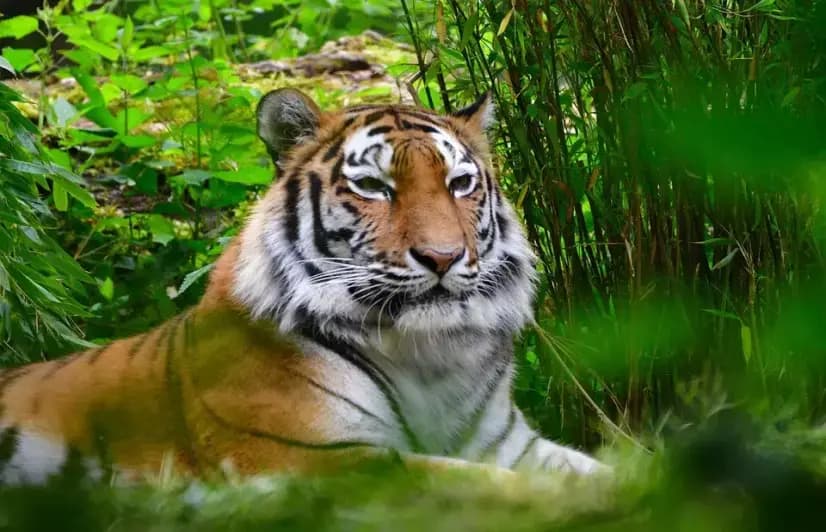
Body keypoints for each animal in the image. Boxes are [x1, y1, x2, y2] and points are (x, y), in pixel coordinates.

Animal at [0, 88, 605, 484]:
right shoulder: (317, 460)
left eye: (460, 184)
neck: (431, 356)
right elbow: (496, 491)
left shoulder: (512, 445)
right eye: (373, 187)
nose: (443, 256)